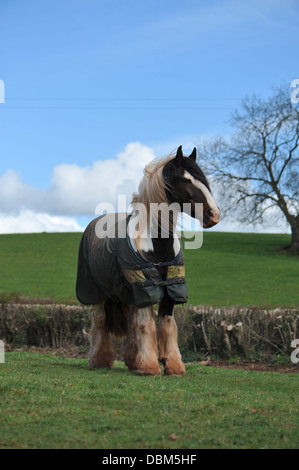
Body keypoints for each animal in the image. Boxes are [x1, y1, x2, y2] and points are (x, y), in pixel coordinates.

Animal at [75, 145, 220, 376]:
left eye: (204, 180)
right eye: (186, 180)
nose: (213, 215)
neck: (158, 247)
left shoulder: (171, 289)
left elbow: (167, 325)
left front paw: (173, 365)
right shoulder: (146, 287)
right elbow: (149, 326)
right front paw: (151, 366)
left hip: (128, 295)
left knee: (132, 323)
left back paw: (133, 360)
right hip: (95, 292)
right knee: (100, 321)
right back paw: (99, 360)